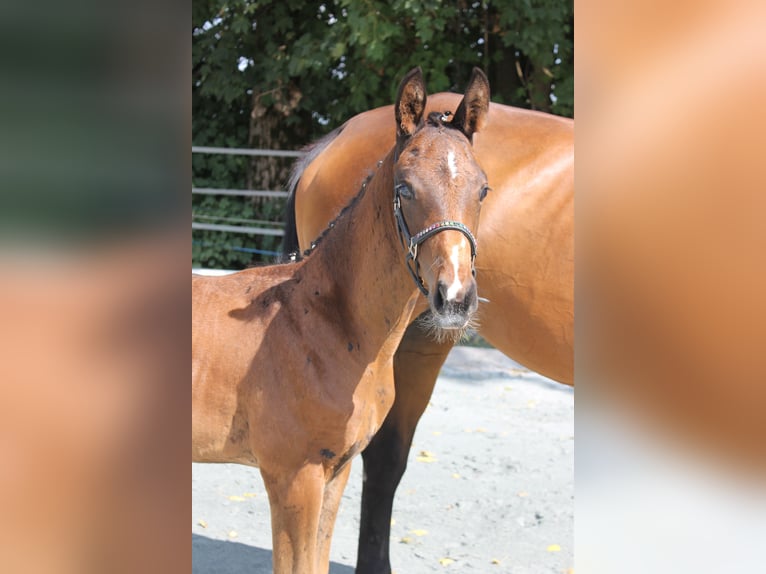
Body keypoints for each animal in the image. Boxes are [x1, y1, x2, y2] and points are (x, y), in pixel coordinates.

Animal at [194, 68, 492, 574]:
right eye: (404, 188)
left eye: (483, 189)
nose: (454, 298)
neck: (329, 325)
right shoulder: (293, 476)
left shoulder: (338, 470)